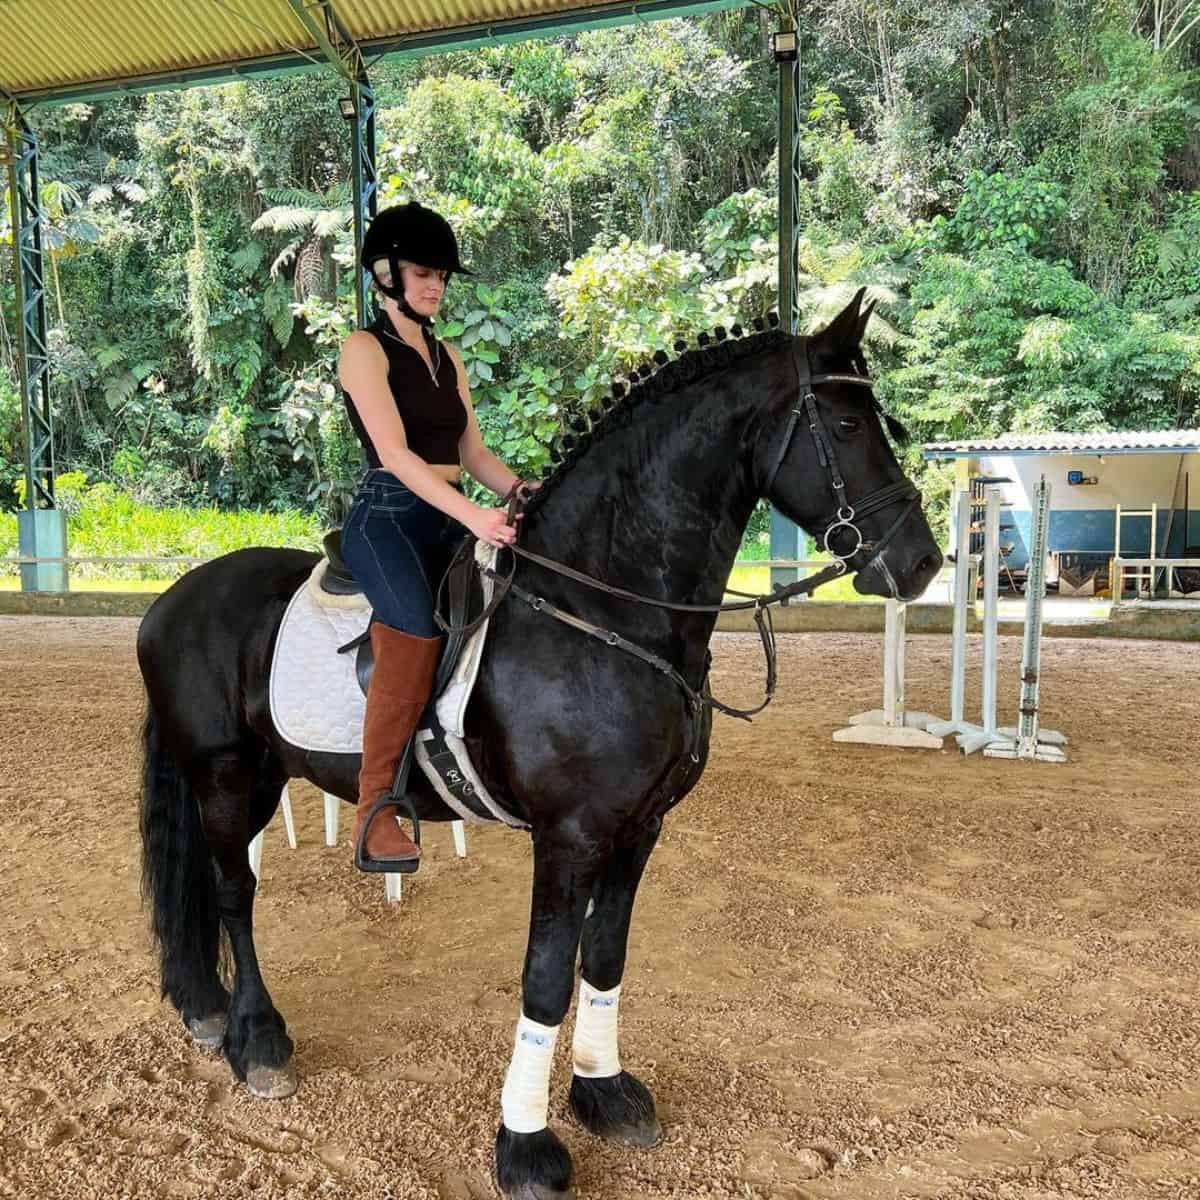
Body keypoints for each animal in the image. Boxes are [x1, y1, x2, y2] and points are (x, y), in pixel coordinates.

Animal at [140, 292, 940, 1200]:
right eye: (845, 423)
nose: (921, 562)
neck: (607, 610)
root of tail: (174, 598)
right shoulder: (571, 836)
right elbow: (547, 977)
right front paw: (525, 1143)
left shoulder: (638, 829)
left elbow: (605, 957)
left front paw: (604, 1090)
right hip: (224, 776)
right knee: (233, 894)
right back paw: (259, 1039)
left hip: (255, 776)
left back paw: (208, 1011)